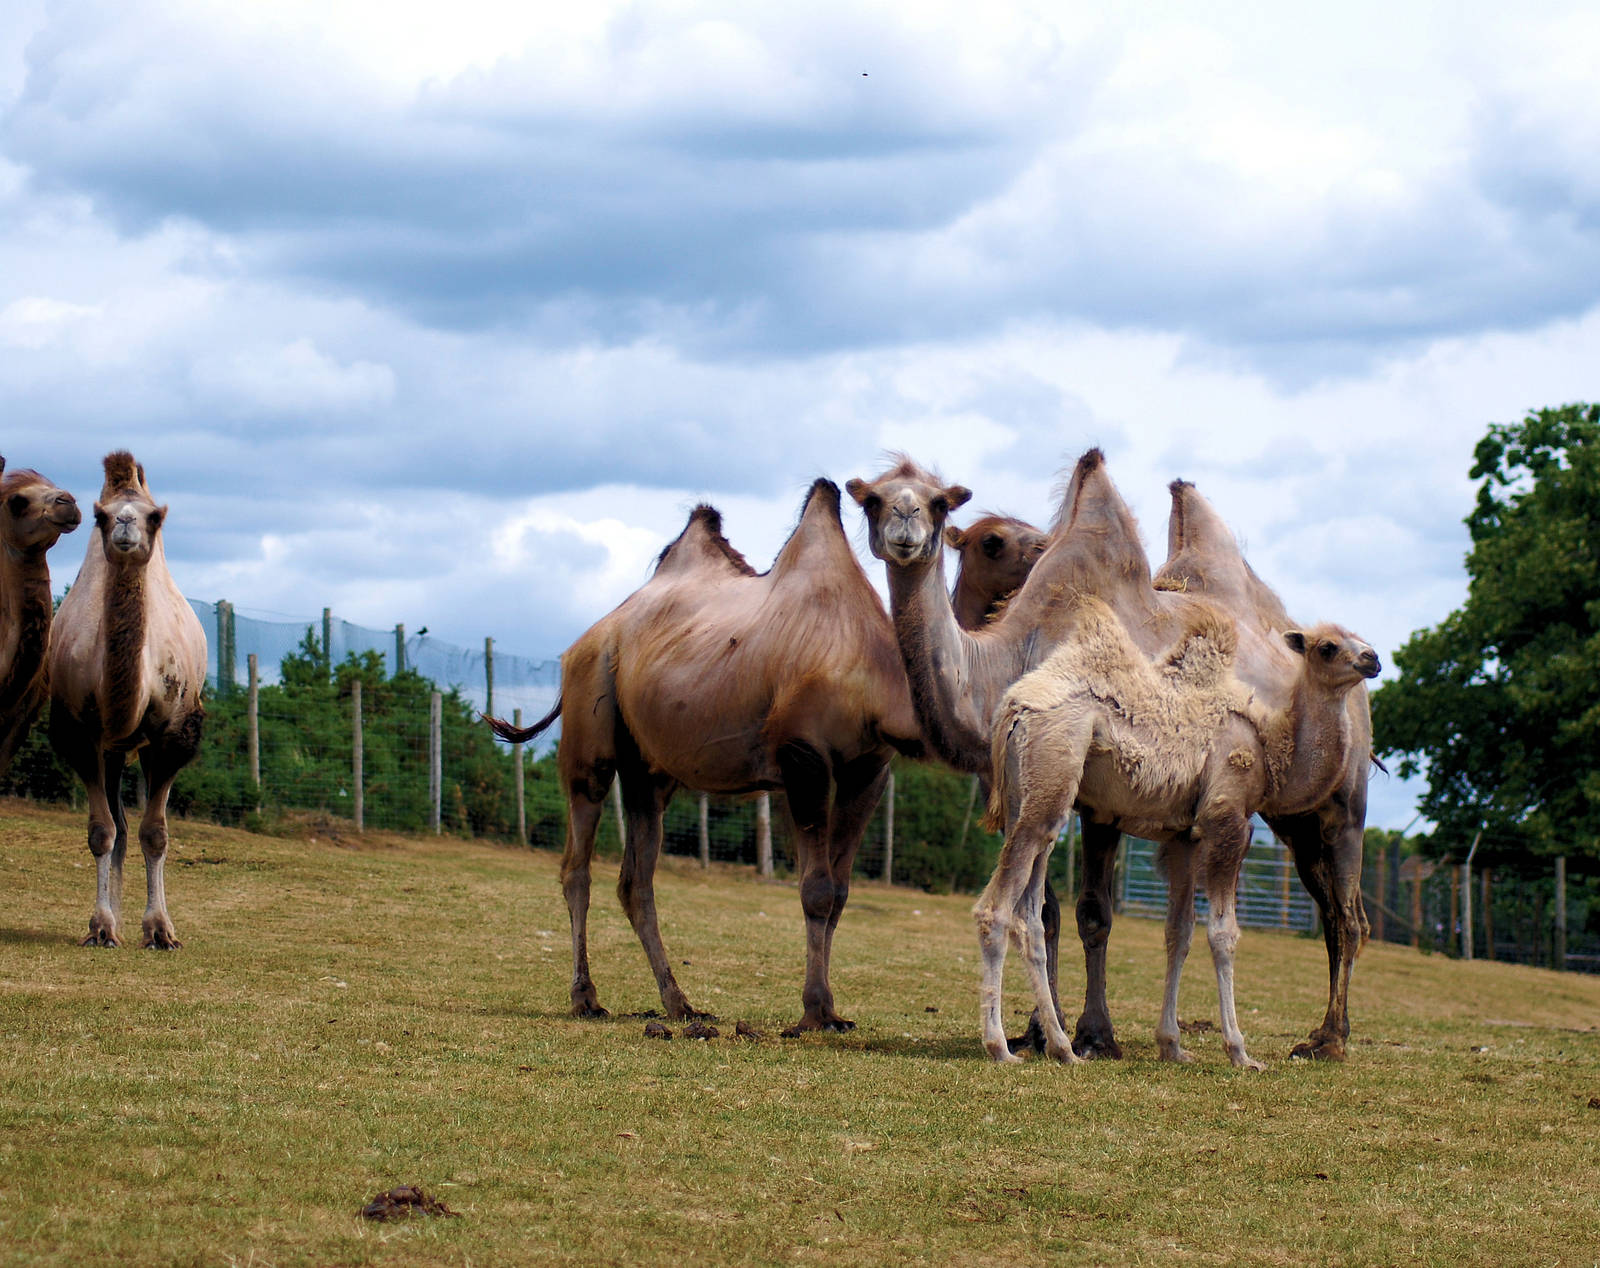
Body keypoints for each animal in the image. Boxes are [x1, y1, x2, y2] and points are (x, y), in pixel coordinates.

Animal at [49, 452, 207, 949]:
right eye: (99, 515)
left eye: (154, 517)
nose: (123, 524)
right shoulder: (78, 733)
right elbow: (102, 831)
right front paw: (101, 926)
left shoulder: (176, 733)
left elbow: (154, 834)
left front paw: (160, 930)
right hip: (113, 749)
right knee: (116, 826)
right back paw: (113, 920)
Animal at [485, 481, 929, 1036]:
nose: (910, 528)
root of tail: (584, 641)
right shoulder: (802, 757)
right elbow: (817, 890)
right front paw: (811, 1012)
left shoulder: (868, 768)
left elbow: (841, 892)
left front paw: (831, 1012)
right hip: (591, 731)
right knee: (577, 866)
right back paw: (587, 998)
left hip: (649, 770)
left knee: (635, 880)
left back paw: (680, 1005)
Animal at [976, 595, 1379, 1068]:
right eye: (1328, 647)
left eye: (1360, 639)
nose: (1373, 659)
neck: (1269, 747)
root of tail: (1012, 710)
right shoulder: (1227, 819)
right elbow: (1223, 935)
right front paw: (1240, 1052)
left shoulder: (1184, 836)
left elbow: (1179, 932)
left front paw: (1173, 1045)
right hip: (1050, 774)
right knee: (996, 909)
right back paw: (1000, 1047)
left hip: (1030, 799)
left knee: (1031, 917)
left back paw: (1062, 1048)